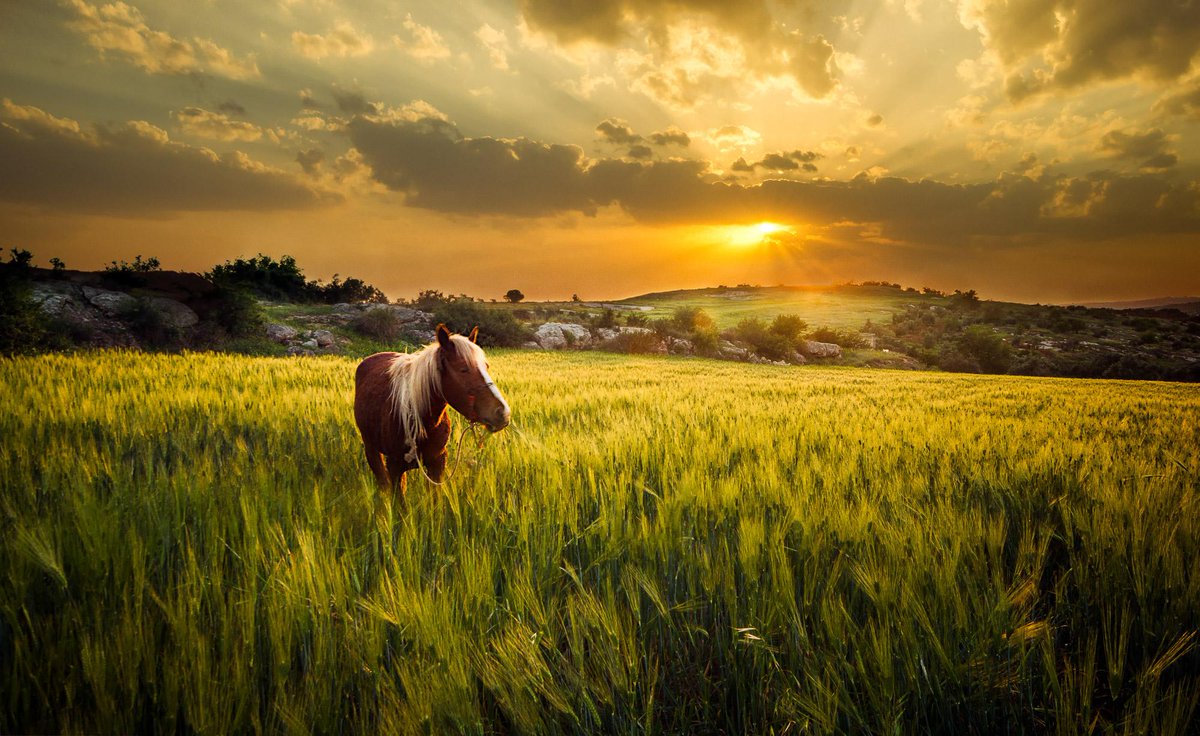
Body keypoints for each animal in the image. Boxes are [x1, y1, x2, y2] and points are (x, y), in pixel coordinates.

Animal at [352, 324, 508, 497]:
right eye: (463, 369)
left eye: (486, 366)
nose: (503, 413)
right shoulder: (395, 466)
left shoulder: (437, 464)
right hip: (371, 448)